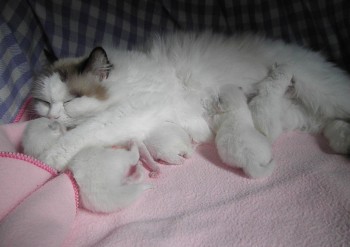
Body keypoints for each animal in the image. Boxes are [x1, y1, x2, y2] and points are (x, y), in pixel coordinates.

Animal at [32, 31, 350, 178]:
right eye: (45, 103)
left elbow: (80, 135)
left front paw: (47, 158)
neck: (122, 81)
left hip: (327, 93)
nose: (54, 117)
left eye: (71, 100)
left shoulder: (129, 112)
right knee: (332, 127)